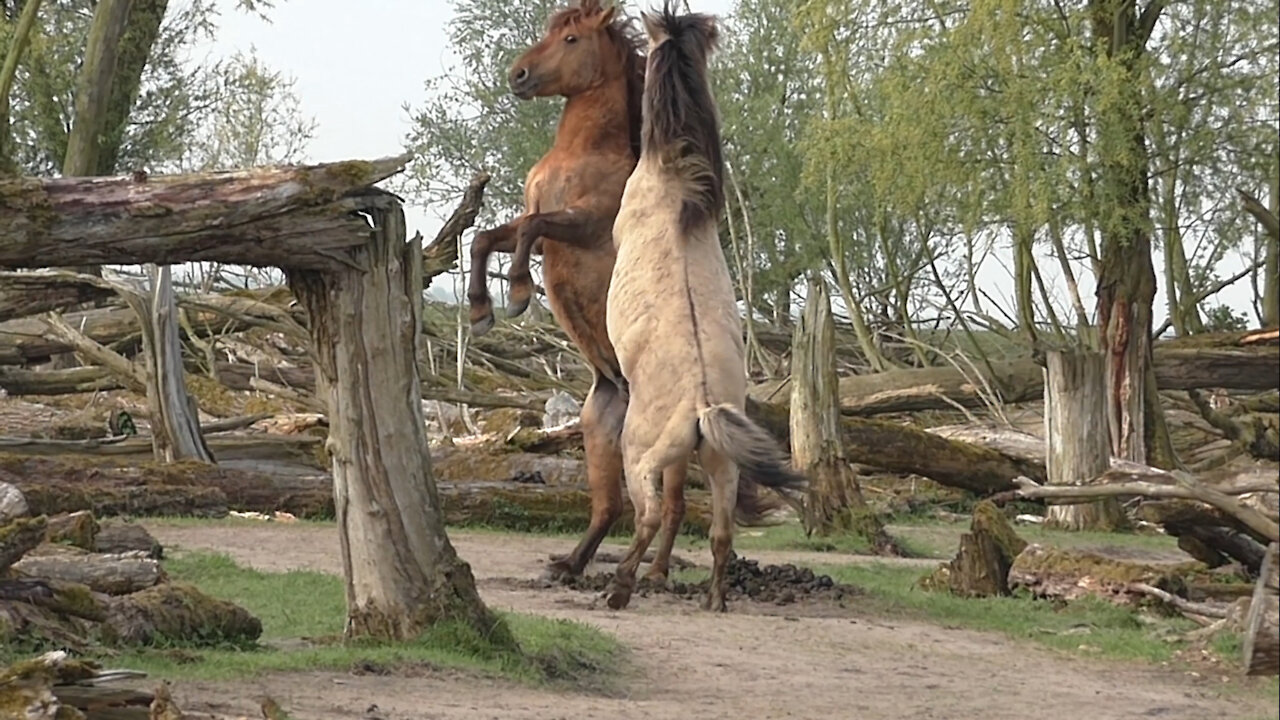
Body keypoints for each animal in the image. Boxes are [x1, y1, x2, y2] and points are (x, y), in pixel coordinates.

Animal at [599, 5, 798, 609]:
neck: (675, 184)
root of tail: (704, 407)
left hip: (639, 454)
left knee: (646, 516)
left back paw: (620, 587)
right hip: (721, 467)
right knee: (720, 532)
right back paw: (713, 597)